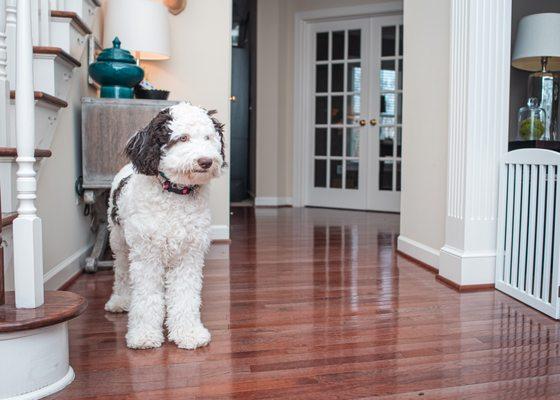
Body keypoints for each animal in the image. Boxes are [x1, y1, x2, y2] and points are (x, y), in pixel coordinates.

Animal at [105, 101, 225, 348]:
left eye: (208, 137)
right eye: (182, 138)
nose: (206, 161)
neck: (175, 194)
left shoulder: (189, 257)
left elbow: (185, 297)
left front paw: (188, 333)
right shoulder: (147, 257)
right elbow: (146, 299)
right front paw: (144, 335)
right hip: (119, 243)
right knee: (121, 274)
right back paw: (120, 301)